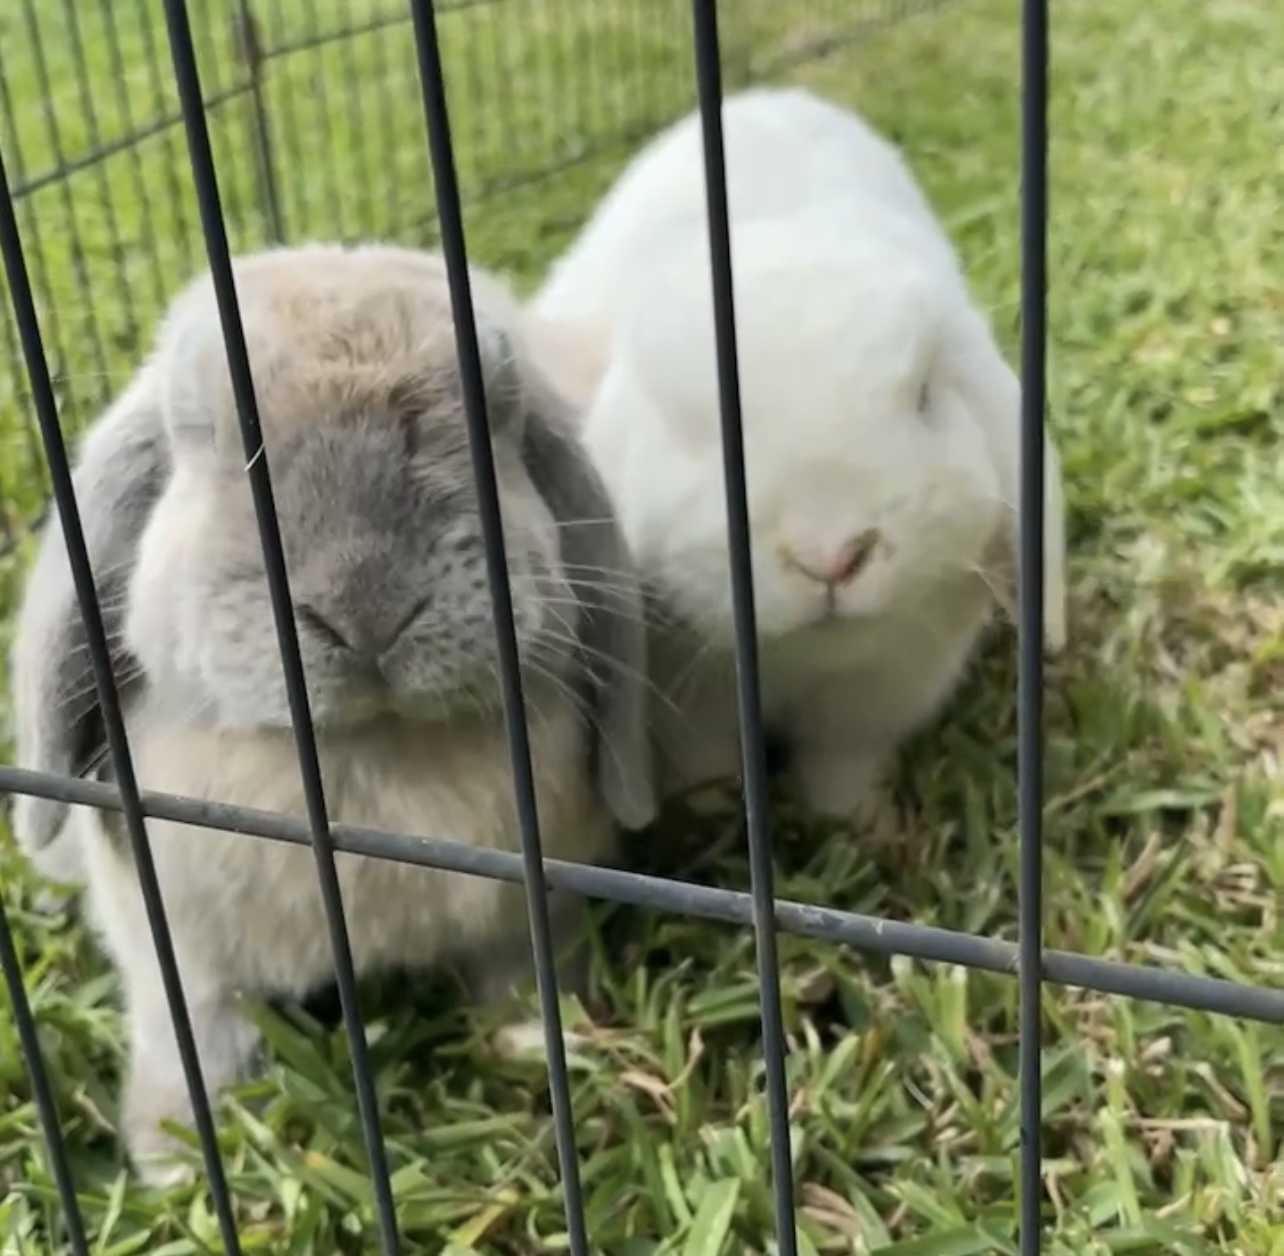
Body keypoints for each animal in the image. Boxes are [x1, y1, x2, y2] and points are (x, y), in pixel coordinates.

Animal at [8, 241, 657, 1186]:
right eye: (203, 429)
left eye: (497, 413)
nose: (365, 607)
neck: (362, 763)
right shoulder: (179, 951)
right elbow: (196, 1037)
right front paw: (171, 1156)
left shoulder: (534, 906)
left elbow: (522, 976)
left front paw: (543, 1045)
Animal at [528, 87, 1068, 821]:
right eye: (682, 425)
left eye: (925, 396)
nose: (830, 557)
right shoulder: (689, 707)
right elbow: (705, 758)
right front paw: (715, 808)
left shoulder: (879, 695)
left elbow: (841, 762)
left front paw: (857, 820)